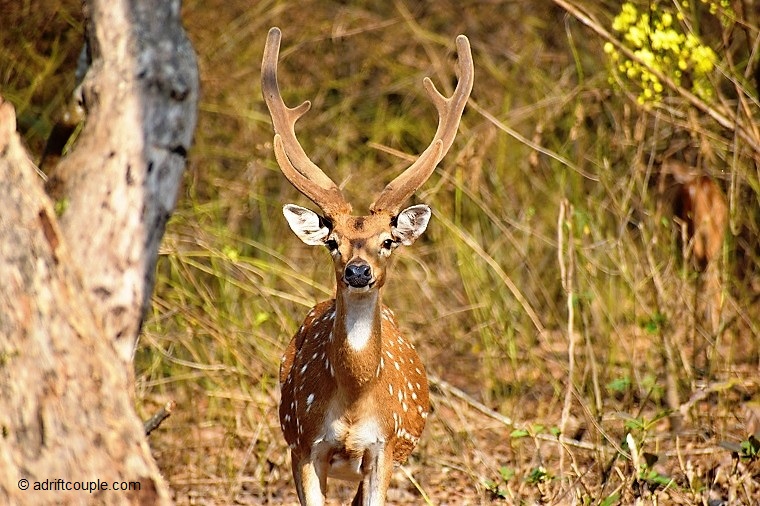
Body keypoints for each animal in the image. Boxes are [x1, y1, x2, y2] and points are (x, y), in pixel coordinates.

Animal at [261, 27, 473, 505]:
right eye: (332, 242)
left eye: (388, 241)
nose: (358, 272)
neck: (355, 403)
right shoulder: (304, 444)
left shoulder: (385, 448)